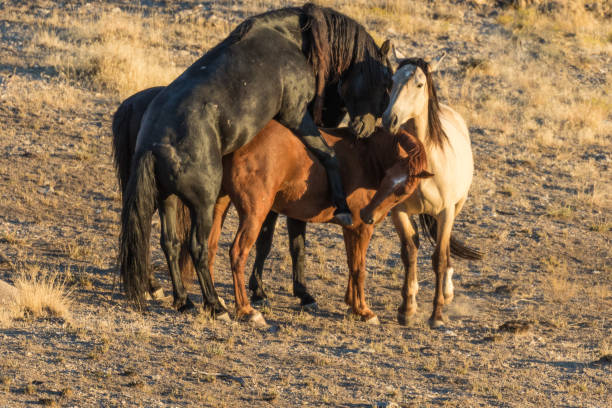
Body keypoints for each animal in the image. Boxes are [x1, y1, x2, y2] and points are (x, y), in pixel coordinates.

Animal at [119, 2, 392, 318]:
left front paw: (278, 290)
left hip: (168, 200)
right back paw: (215, 305)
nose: (365, 129)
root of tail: (152, 144)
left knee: (171, 244)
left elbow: (276, 235)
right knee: (198, 248)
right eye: (385, 82)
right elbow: (328, 156)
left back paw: (184, 300)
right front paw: (342, 207)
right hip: (202, 204)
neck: (290, 39)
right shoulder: (296, 115)